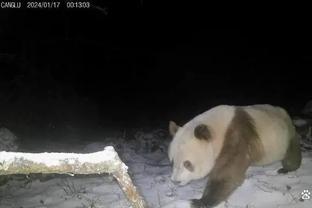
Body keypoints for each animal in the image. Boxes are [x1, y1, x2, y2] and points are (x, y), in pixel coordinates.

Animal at [168, 104, 302, 208]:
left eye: (187, 163)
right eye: (172, 161)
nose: (175, 181)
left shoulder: (236, 135)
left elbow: (228, 172)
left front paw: (198, 202)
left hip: (286, 134)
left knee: (291, 154)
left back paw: (284, 169)